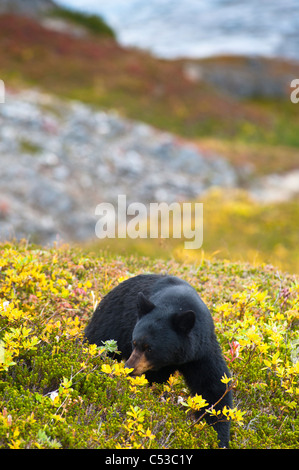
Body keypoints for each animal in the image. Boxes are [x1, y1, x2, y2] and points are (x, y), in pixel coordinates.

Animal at [85, 274, 233, 446]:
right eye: (134, 342)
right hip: (110, 324)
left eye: (150, 348)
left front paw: (218, 437)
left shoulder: (201, 350)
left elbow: (213, 388)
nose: (129, 367)